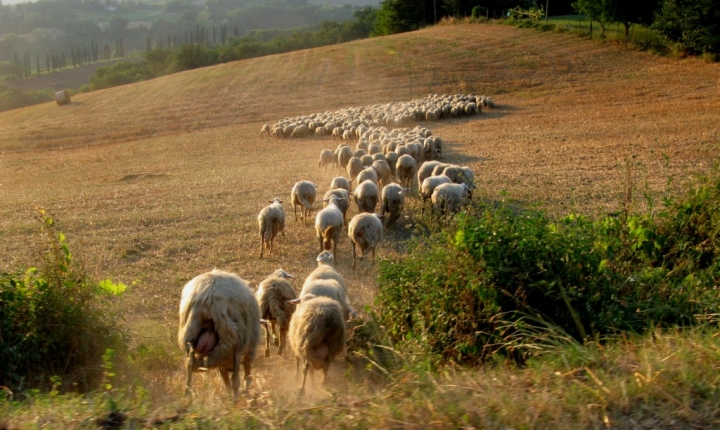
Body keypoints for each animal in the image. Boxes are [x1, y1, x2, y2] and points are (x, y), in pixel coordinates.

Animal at [178, 270, 262, 402]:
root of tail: (209, 293)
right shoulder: (248, 350)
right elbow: (243, 376)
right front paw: (241, 394)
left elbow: (226, 378)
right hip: (232, 336)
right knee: (234, 376)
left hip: (190, 329)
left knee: (190, 360)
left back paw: (188, 392)